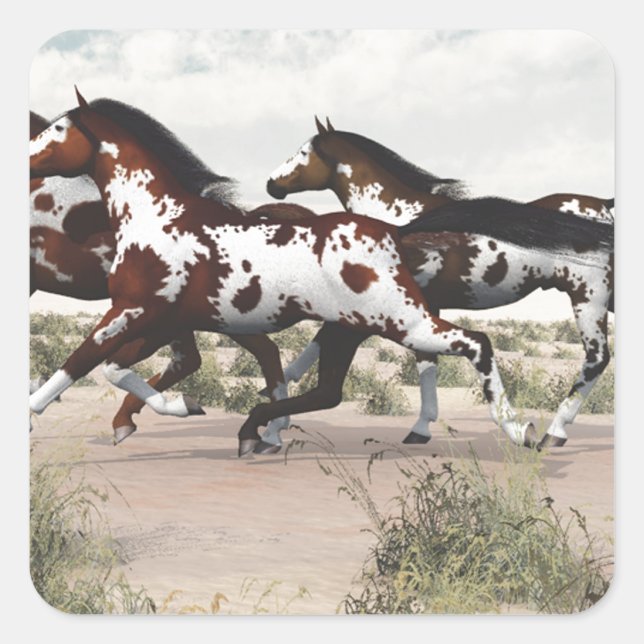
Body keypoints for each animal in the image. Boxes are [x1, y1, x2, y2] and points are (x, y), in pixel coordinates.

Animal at [259, 118, 614, 452]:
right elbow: (426, 364)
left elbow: (323, 341)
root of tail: (603, 206)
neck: (401, 221)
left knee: (597, 358)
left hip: (588, 296)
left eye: (303, 152)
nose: (271, 184)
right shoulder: (426, 307)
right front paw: (421, 429)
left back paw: (553, 434)